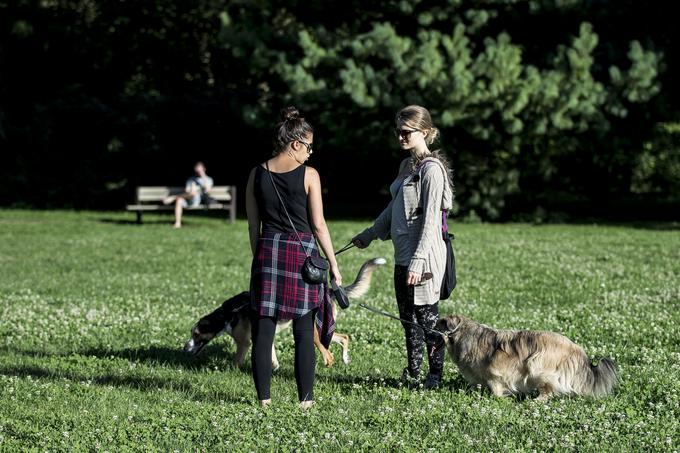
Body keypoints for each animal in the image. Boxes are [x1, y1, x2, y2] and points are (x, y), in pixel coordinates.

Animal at [183, 258, 386, 368]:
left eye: (196, 334)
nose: (184, 349)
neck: (227, 314)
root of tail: (329, 291)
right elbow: (272, 358)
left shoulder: (244, 343)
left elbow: (236, 362)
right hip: (323, 330)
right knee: (344, 337)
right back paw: (345, 359)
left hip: (314, 332)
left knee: (329, 355)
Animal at [436, 314, 616, 400]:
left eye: (437, 324)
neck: (463, 333)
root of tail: (575, 348)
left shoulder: (495, 375)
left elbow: (496, 388)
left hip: (536, 366)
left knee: (548, 390)